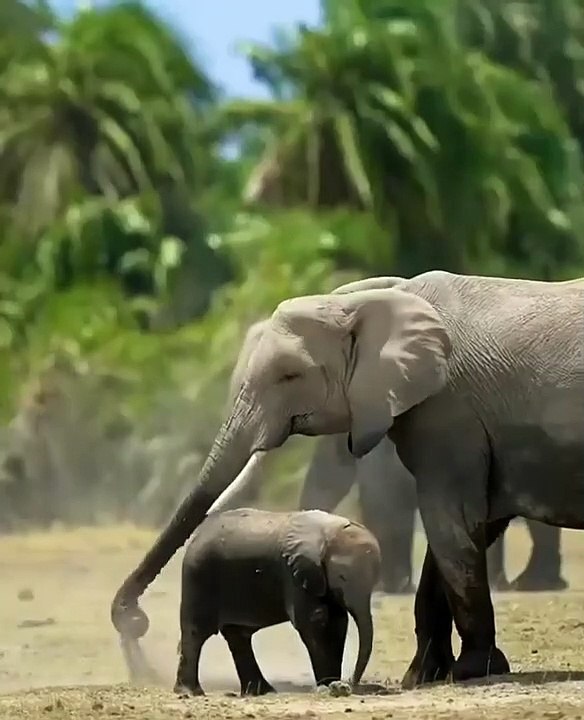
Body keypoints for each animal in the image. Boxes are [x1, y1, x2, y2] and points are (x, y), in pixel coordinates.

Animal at [172, 508, 380, 696]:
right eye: (342, 577)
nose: (351, 683)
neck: (330, 532)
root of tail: (195, 536)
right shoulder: (295, 575)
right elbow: (316, 621)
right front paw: (328, 687)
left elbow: (337, 623)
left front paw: (332, 685)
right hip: (198, 575)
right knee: (196, 633)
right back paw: (191, 692)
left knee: (238, 636)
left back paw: (260, 692)